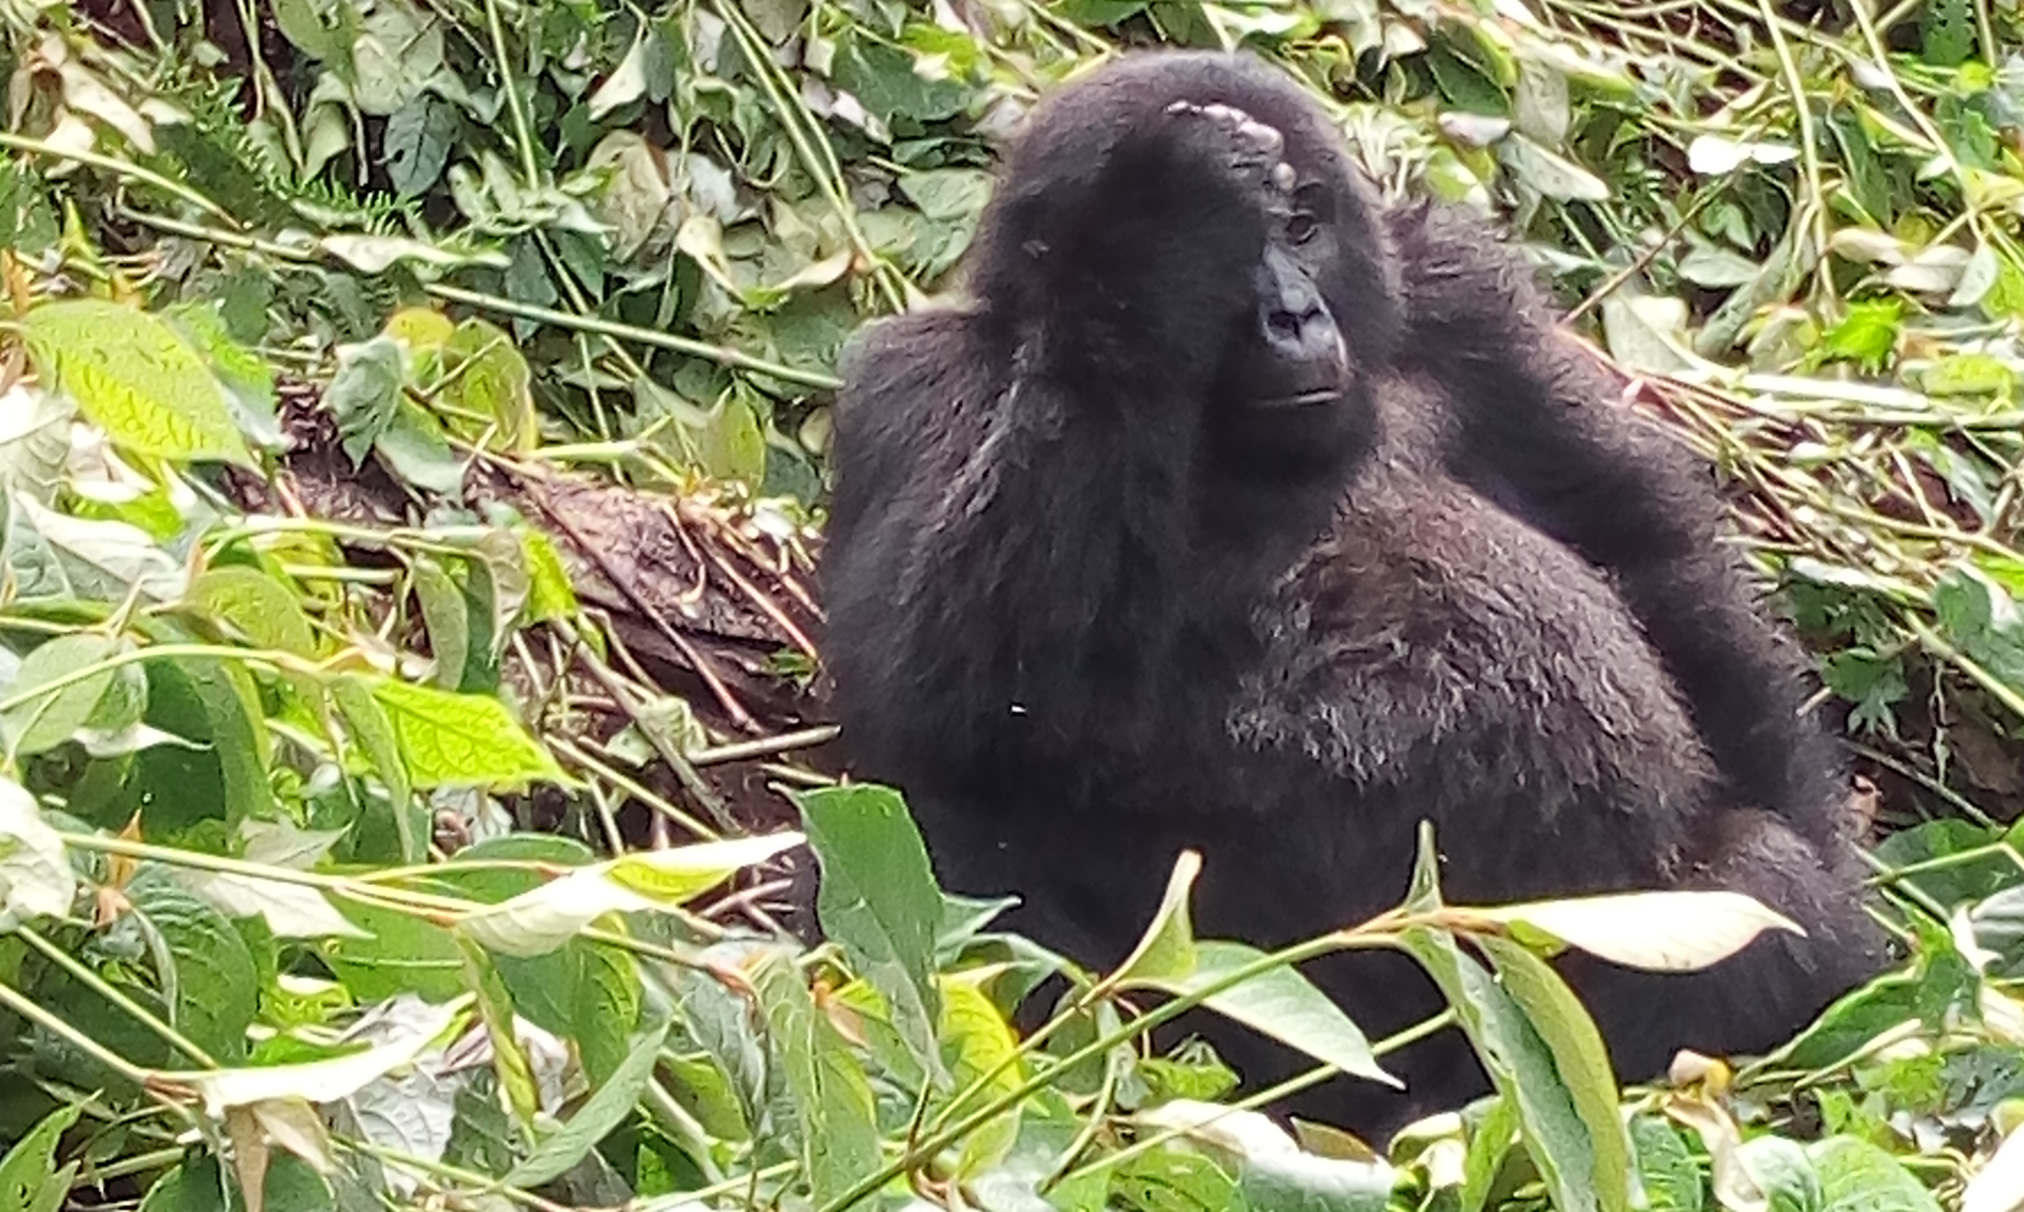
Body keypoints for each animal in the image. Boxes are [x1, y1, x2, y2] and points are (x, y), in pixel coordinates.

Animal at [813, 49, 1886, 1141]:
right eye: (1228, 257)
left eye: (1300, 226)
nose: (1291, 314)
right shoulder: (908, 382)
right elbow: (929, 699)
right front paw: (1155, 227)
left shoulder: (1469, 301)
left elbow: (1650, 556)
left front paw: (1842, 918)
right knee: (955, 841)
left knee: (1751, 887)